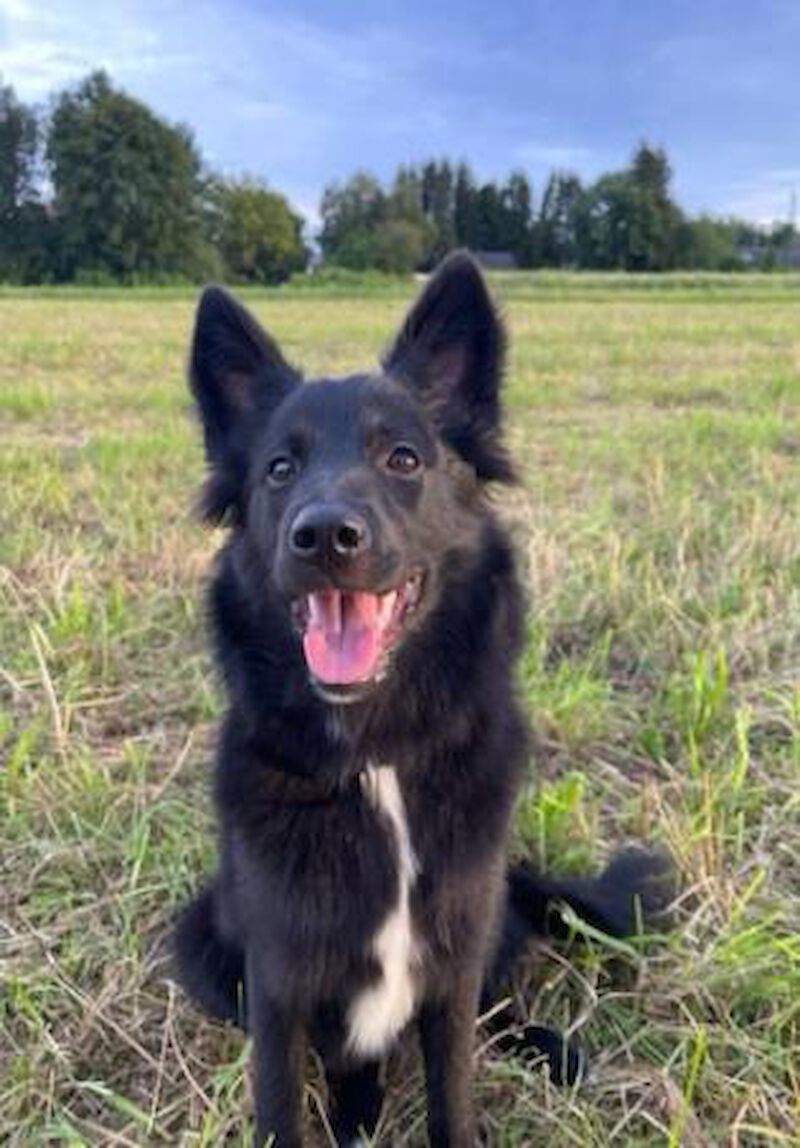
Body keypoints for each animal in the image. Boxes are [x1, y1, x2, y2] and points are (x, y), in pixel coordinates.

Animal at [174, 253, 669, 1147]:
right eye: (279, 469)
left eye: (403, 458)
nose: (324, 536)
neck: (379, 759)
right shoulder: (277, 982)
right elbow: (282, 1102)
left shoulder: (454, 958)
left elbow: (455, 1086)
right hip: (200, 942)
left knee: (500, 1007)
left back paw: (553, 1052)